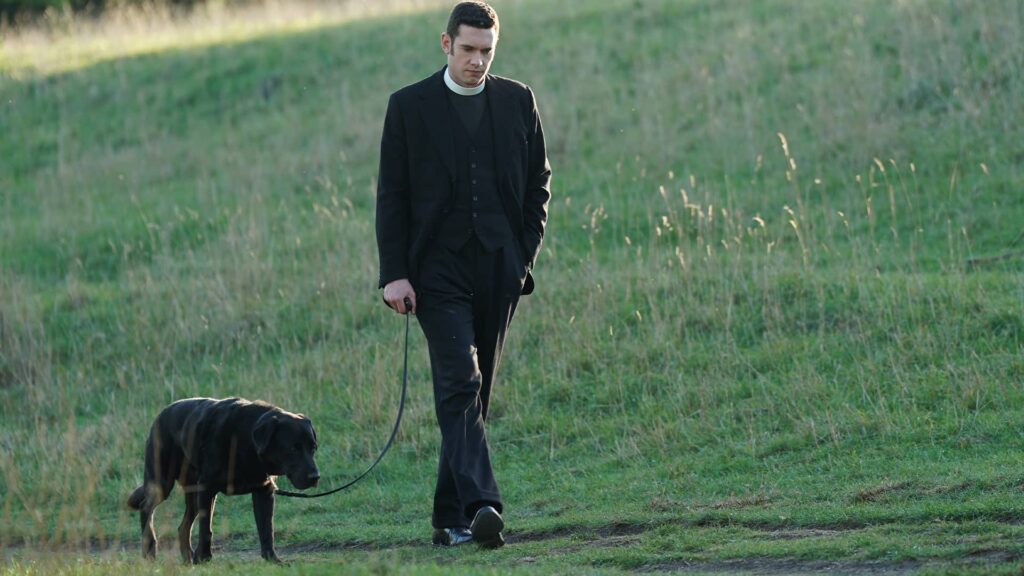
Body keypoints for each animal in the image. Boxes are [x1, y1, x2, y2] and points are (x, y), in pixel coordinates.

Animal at [129, 393, 319, 561]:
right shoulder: (207, 489)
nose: (315, 477)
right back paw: (150, 549)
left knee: (182, 527)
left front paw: (272, 560)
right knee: (146, 507)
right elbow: (206, 529)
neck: (247, 441)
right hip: (162, 483)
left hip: (193, 494)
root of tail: (161, 415)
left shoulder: (264, 491)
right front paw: (203, 558)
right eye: (293, 449)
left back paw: (188, 560)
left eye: (313, 449)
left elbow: (266, 529)